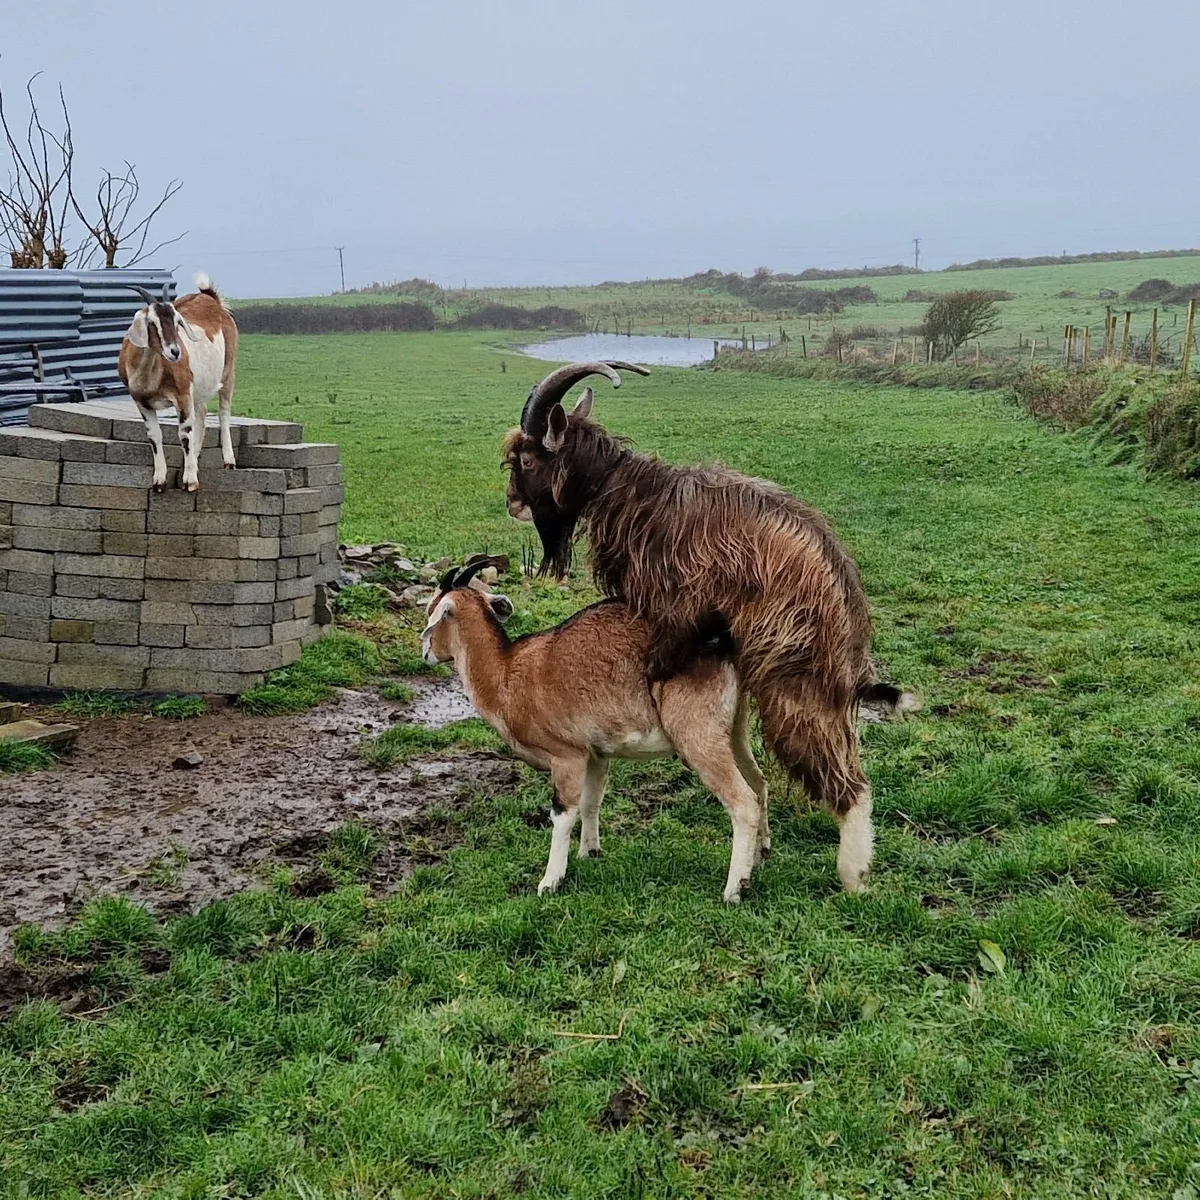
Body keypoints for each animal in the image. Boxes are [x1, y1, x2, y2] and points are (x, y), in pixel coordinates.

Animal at [117, 274, 238, 492]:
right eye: (151, 322)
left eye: (176, 322)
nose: (175, 351)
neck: (149, 375)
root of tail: (212, 299)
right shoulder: (142, 402)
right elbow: (154, 435)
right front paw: (159, 481)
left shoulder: (182, 395)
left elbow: (184, 433)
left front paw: (190, 481)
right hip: (196, 390)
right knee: (202, 412)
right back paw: (195, 459)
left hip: (227, 371)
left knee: (223, 411)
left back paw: (228, 461)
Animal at [420, 557, 769, 903]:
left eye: (434, 610)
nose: (425, 651)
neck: (506, 673)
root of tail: (723, 642)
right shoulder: (597, 753)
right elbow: (591, 802)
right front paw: (589, 852)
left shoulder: (567, 755)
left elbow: (563, 814)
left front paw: (550, 881)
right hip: (734, 728)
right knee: (758, 783)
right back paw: (759, 857)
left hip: (697, 733)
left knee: (742, 801)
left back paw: (734, 889)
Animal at [503, 362, 917, 894]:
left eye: (527, 458)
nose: (513, 503)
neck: (633, 493)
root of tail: (842, 593)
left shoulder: (675, 606)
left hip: (793, 676)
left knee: (847, 782)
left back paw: (851, 874)